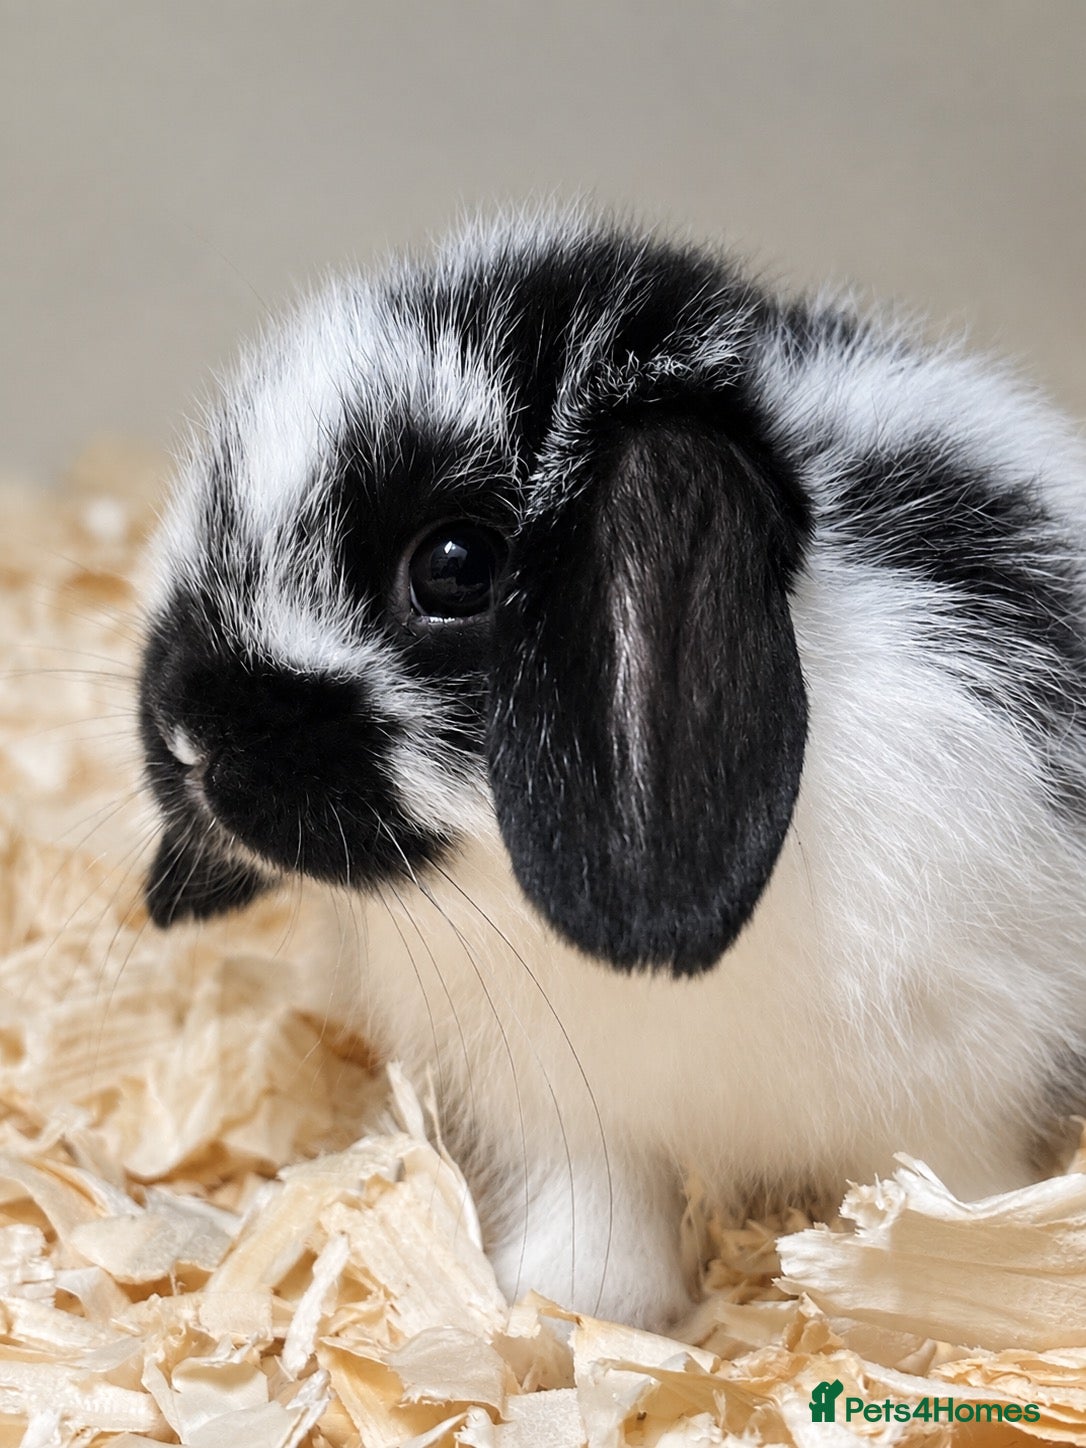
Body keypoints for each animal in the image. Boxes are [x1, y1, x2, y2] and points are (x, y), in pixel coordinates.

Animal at [137, 210, 1086, 1331]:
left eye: (455, 566)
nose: (190, 735)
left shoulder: (962, 1090)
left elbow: (953, 1204)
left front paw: (935, 1296)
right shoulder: (579, 1119)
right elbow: (602, 1222)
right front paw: (553, 1308)